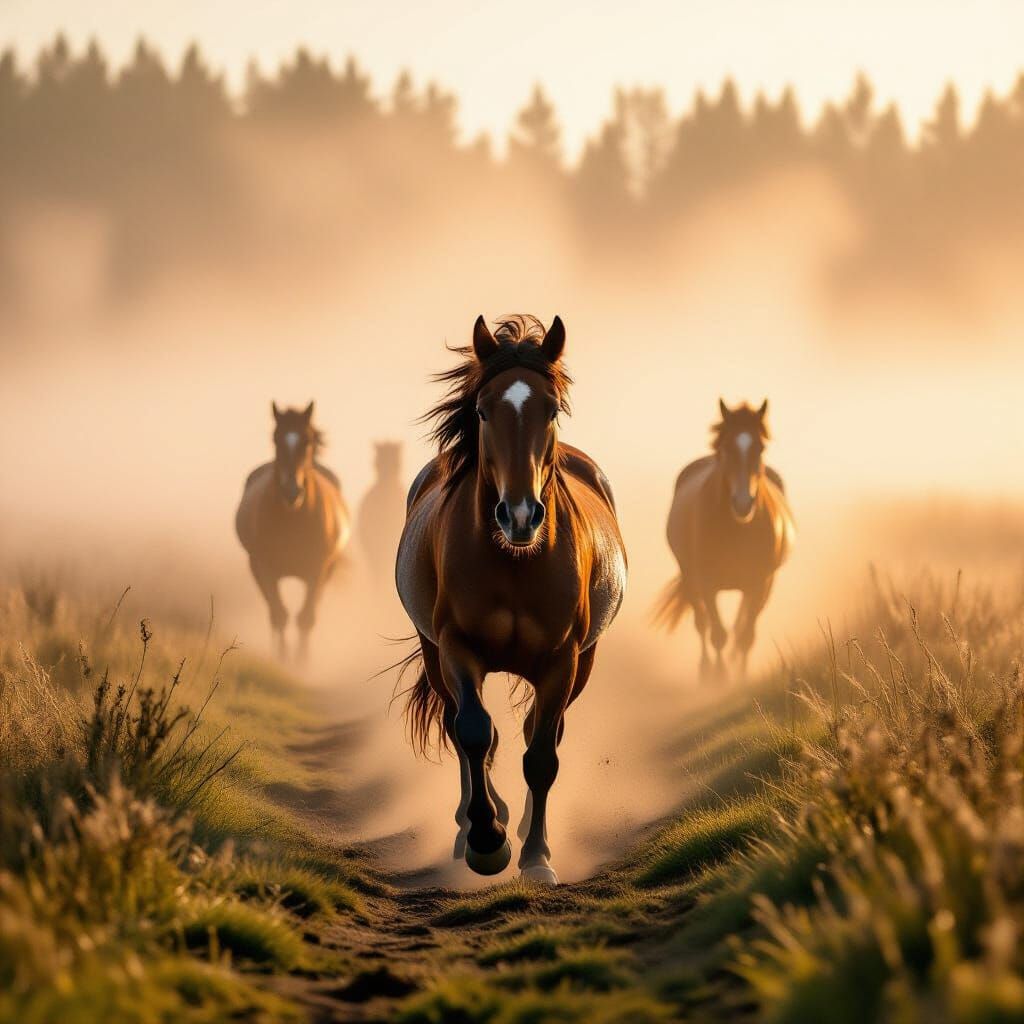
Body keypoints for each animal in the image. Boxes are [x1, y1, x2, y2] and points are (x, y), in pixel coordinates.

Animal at [236, 402, 350, 661]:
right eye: (275, 438)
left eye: (306, 441)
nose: (292, 491)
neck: (294, 519)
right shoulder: (264, 567)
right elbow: (280, 614)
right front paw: (282, 658)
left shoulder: (317, 570)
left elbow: (306, 618)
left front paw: (301, 662)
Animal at [395, 314, 627, 885]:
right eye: (482, 410)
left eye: (552, 409)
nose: (520, 515)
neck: (515, 562)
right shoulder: (456, 647)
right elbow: (475, 732)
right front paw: (486, 841)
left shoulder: (562, 661)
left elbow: (541, 755)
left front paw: (536, 858)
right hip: (433, 655)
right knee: (462, 729)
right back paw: (475, 826)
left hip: (583, 662)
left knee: (538, 734)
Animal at [656, 399, 794, 680]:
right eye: (727, 447)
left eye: (760, 448)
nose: (743, 503)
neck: (736, 530)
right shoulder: (707, 583)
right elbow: (717, 633)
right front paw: (718, 677)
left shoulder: (760, 583)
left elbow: (745, 636)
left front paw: (740, 677)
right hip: (689, 576)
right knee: (701, 623)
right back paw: (706, 669)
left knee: (740, 625)